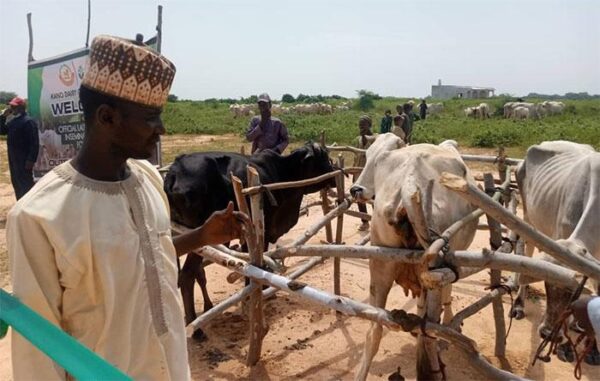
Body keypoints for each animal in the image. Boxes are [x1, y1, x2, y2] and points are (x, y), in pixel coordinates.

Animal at [350, 135, 476, 378]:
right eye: (367, 155)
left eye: (377, 161)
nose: (356, 190)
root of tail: (410, 182)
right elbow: (446, 295)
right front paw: (450, 321)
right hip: (434, 268)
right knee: (430, 331)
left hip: (380, 264)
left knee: (374, 330)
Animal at [510, 140, 600, 362]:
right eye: (547, 284)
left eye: (574, 292)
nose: (547, 334)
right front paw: (566, 347)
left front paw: (593, 348)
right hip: (528, 218)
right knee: (526, 253)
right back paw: (518, 305)